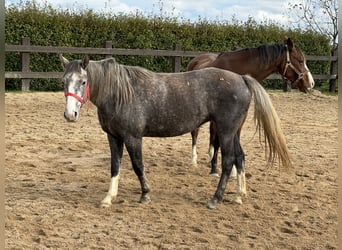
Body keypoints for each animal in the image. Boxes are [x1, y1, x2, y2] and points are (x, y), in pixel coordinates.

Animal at [188, 36, 314, 178]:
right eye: (300, 60)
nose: (311, 83)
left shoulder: (239, 117)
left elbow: (233, 139)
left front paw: (233, 171)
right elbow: (218, 142)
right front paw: (215, 169)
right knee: (195, 133)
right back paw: (194, 160)